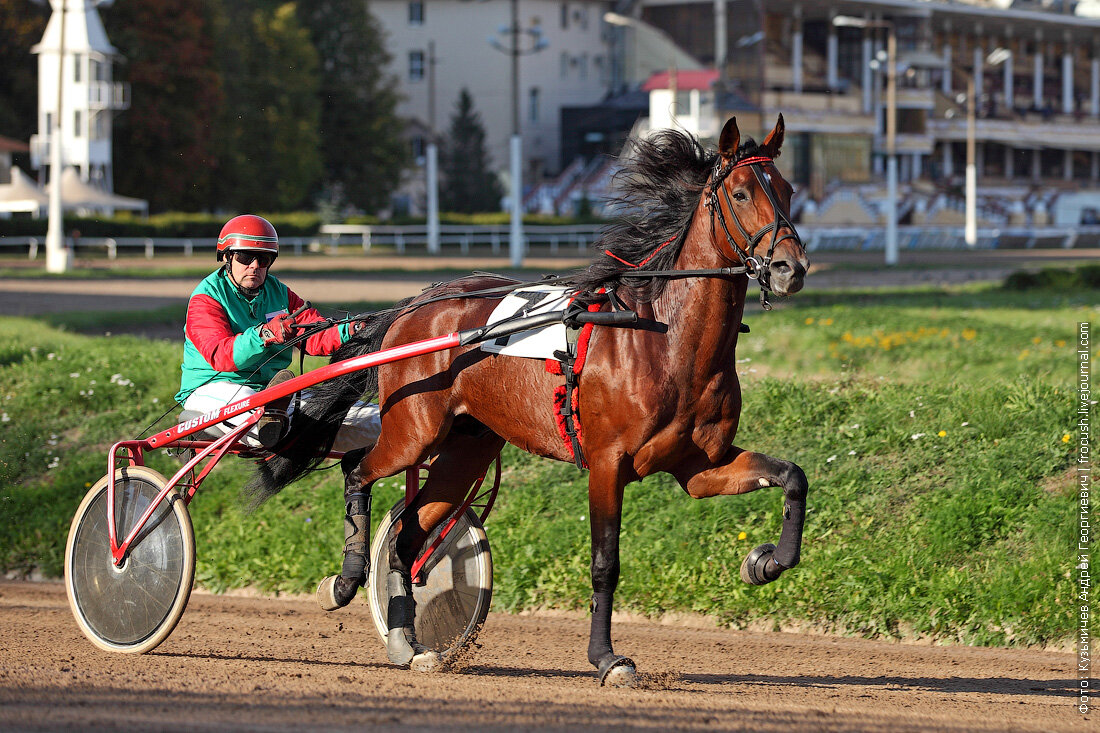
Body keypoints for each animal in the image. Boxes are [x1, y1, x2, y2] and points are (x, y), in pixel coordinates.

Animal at [251, 115, 818, 686]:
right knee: (358, 472)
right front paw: (607, 658)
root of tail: (416, 304)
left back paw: (409, 643)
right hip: (413, 432)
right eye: (741, 193)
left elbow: (793, 476)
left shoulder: (699, 467)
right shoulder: (608, 463)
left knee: (409, 538)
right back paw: (346, 582)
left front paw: (765, 561)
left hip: (466, 448)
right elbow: (605, 564)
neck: (667, 336)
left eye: (789, 191)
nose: (790, 268)